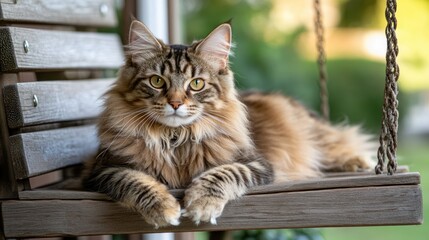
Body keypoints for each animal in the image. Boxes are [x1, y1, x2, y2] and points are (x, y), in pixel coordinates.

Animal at [81, 20, 374, 227]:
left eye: (196, 84)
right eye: (157, 81)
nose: (175, 103)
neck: (176, 138)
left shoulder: (257, 164)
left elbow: (224, 173)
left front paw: (201, 204)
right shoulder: (105, 169)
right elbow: (137, 181)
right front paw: (164, 208)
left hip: (316, 136)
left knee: (341, 143)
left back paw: (357, 162)